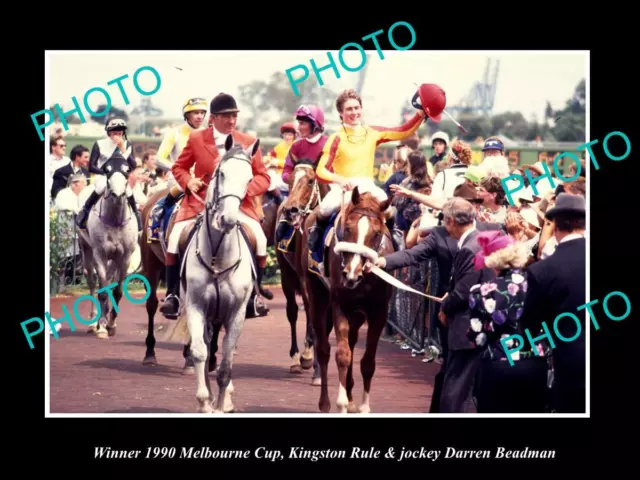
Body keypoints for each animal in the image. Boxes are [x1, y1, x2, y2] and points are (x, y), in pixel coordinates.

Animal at [79, 157, 139, 338]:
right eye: (107, 170)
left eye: (127, 170)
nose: (118, 195)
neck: (115, 221)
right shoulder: (99, 253)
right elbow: (103, 290)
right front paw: (102, 325)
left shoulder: (125, 257)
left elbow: (117, 291)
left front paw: (111, 324)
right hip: (85, 248)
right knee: (92, 282)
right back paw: (93, 323)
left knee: (108, 280)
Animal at [182, 135, 260, 412]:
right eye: (222, 173)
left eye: (249, 178)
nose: (227, 219)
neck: (217, 256)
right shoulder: (196, 306)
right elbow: (200, 352)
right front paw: (204, 402)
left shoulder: (236, 313)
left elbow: (226, 364)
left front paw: (220, 403)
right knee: (208, 349)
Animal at [304, 188, 396, 412]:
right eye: (347, 228)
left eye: (377, 233)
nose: (351, 275)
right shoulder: (341, 305)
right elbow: (342, 355)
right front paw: (341, 403)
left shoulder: (379, 311)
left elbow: (368, 362)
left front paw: (363, 406)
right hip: (318, 299)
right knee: (324, 349)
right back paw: (325, 403)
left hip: (358, 314)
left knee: (353, 343)